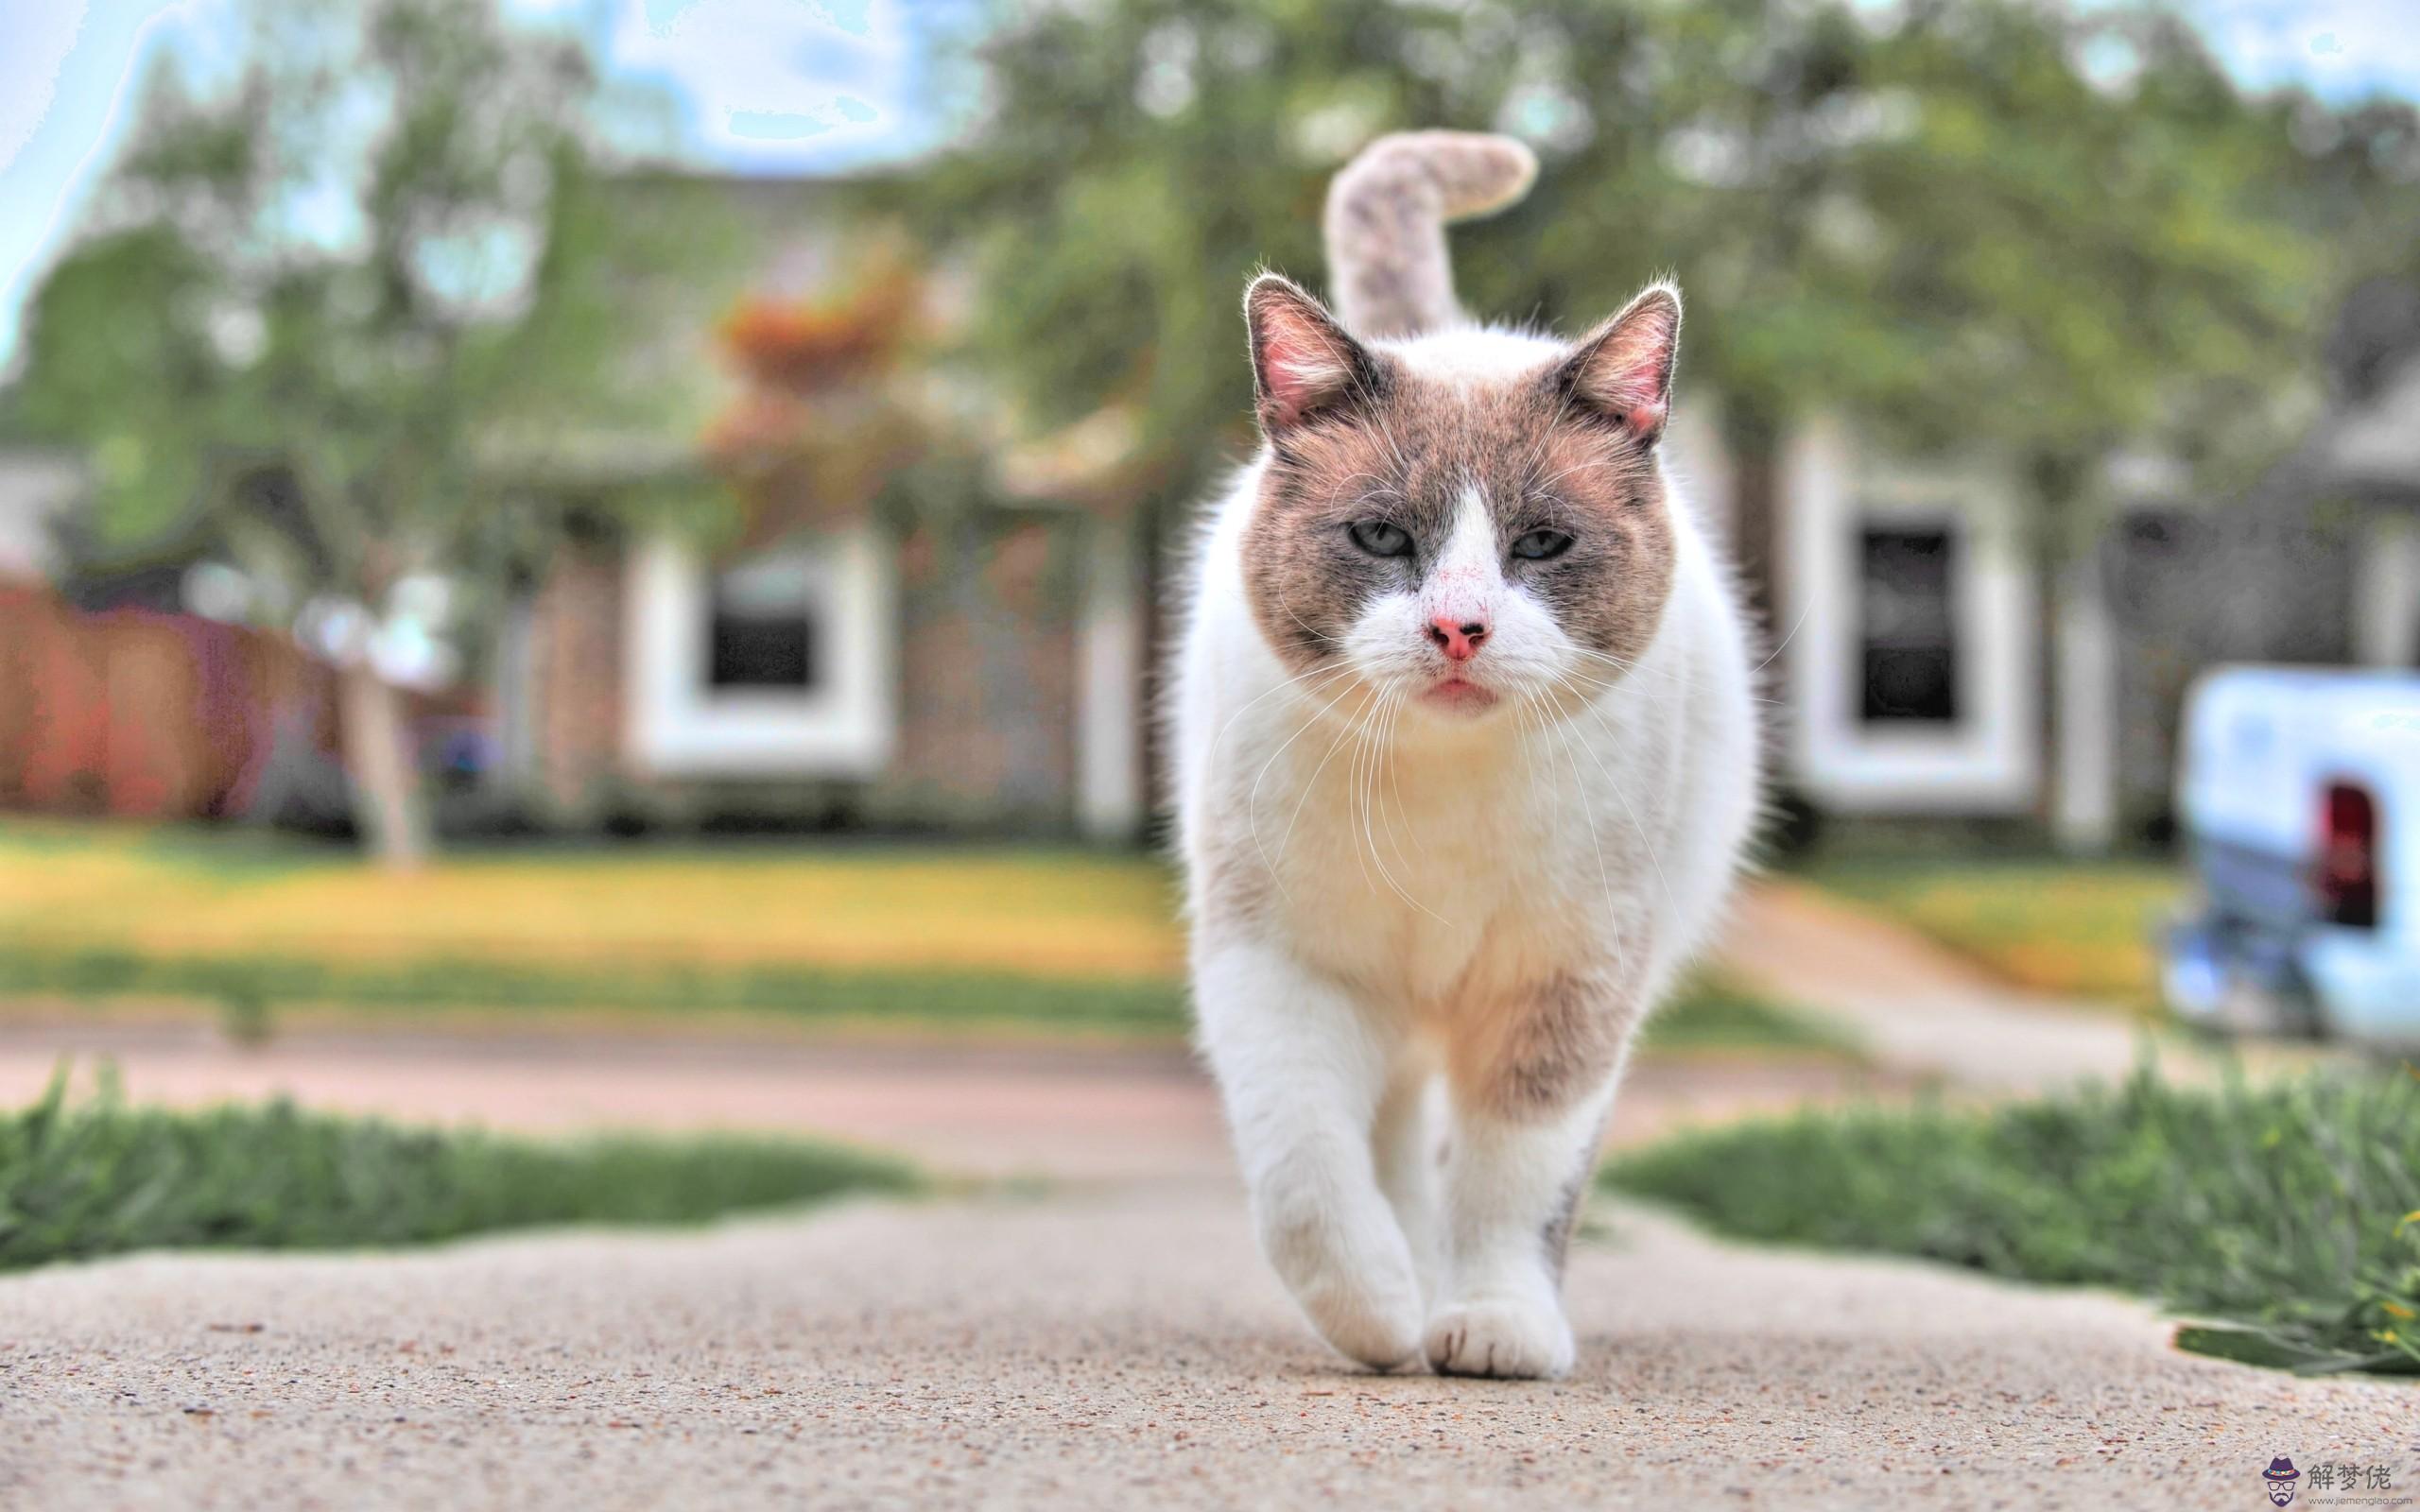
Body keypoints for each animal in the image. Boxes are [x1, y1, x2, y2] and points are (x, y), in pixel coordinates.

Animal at [1171, 132, 1761, 1383]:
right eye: (1382, 535)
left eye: (1541, 543)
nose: (1457, 627)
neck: (1443, 797)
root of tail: (1451, 332)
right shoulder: (1280, 965)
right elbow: (1305, 1171)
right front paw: (1378, 1311)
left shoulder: (1569, 981)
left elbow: (1514, 1178)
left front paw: (1491, 1322)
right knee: (1385, 1143)